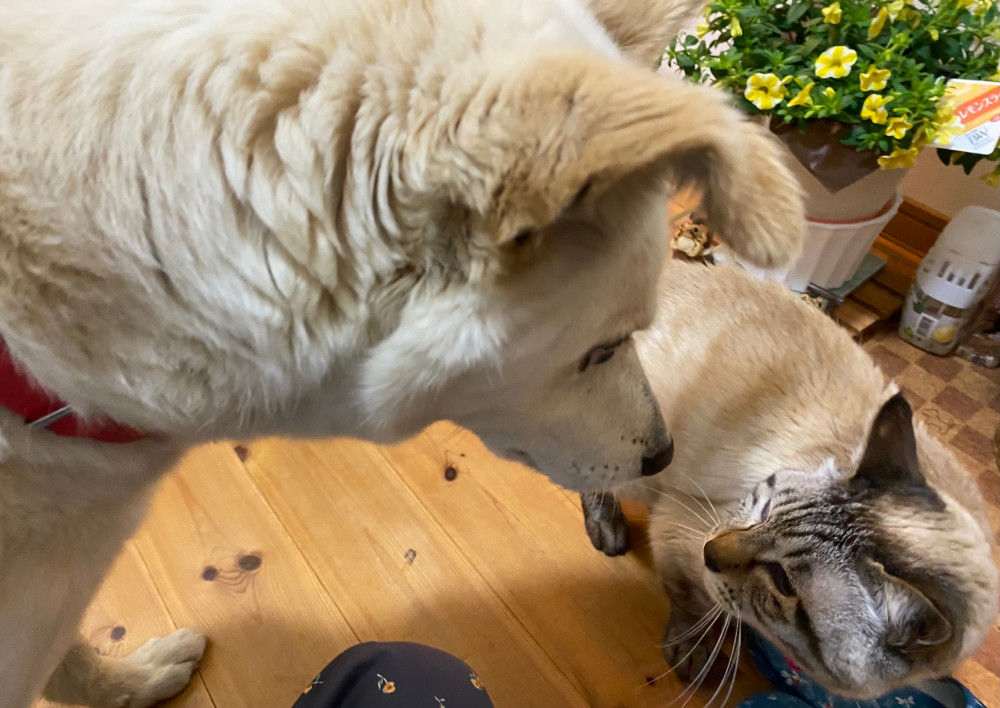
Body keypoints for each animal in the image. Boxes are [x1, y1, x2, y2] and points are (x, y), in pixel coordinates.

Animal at [584, 260, 996, 696]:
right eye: (764, 512)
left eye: (782, 581)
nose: (711, 551)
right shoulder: (680, 533)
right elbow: (689, 603)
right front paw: (694, 650)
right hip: (636, 461)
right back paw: (607, 528)